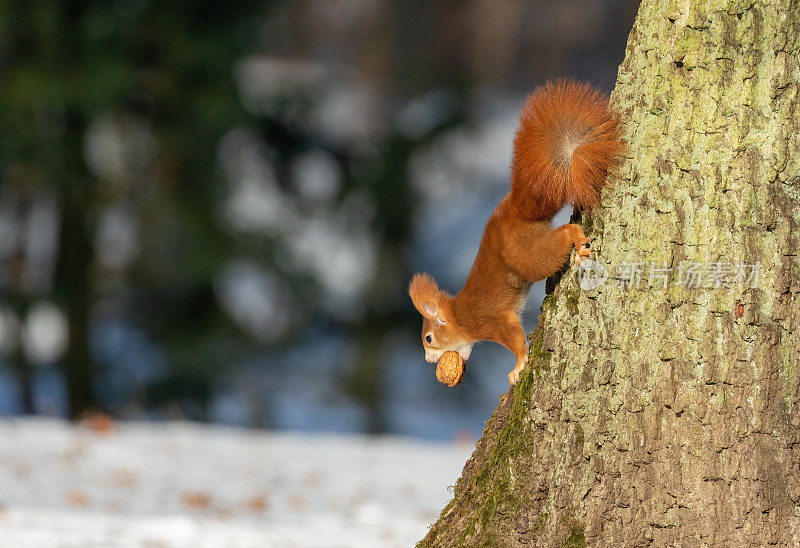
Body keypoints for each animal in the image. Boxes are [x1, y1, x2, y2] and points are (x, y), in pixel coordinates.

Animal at [410, 80, 620, 386]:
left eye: (428, 338)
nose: (427, 360)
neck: (459, 317)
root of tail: (515, 214)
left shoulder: (491, 321)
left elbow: (515, 340)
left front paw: (518, 365)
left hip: (528, 256)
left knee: (559, 240)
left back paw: (576, 238)